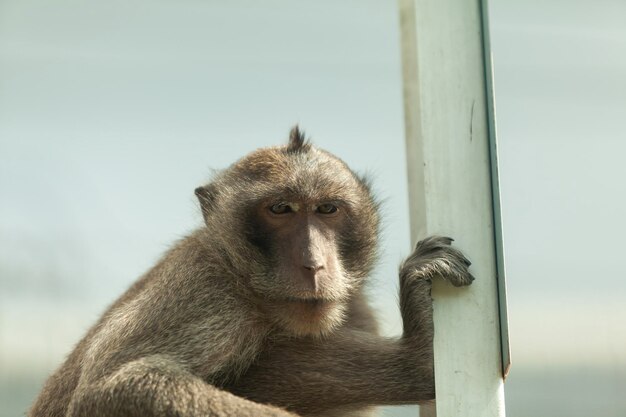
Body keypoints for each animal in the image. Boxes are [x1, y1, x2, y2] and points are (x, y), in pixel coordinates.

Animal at [28, 127, 468, 416]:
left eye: (327, 209)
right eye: (280, 209)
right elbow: (111, 389)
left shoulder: (355, 307)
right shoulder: (207, 292)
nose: (313, 263)